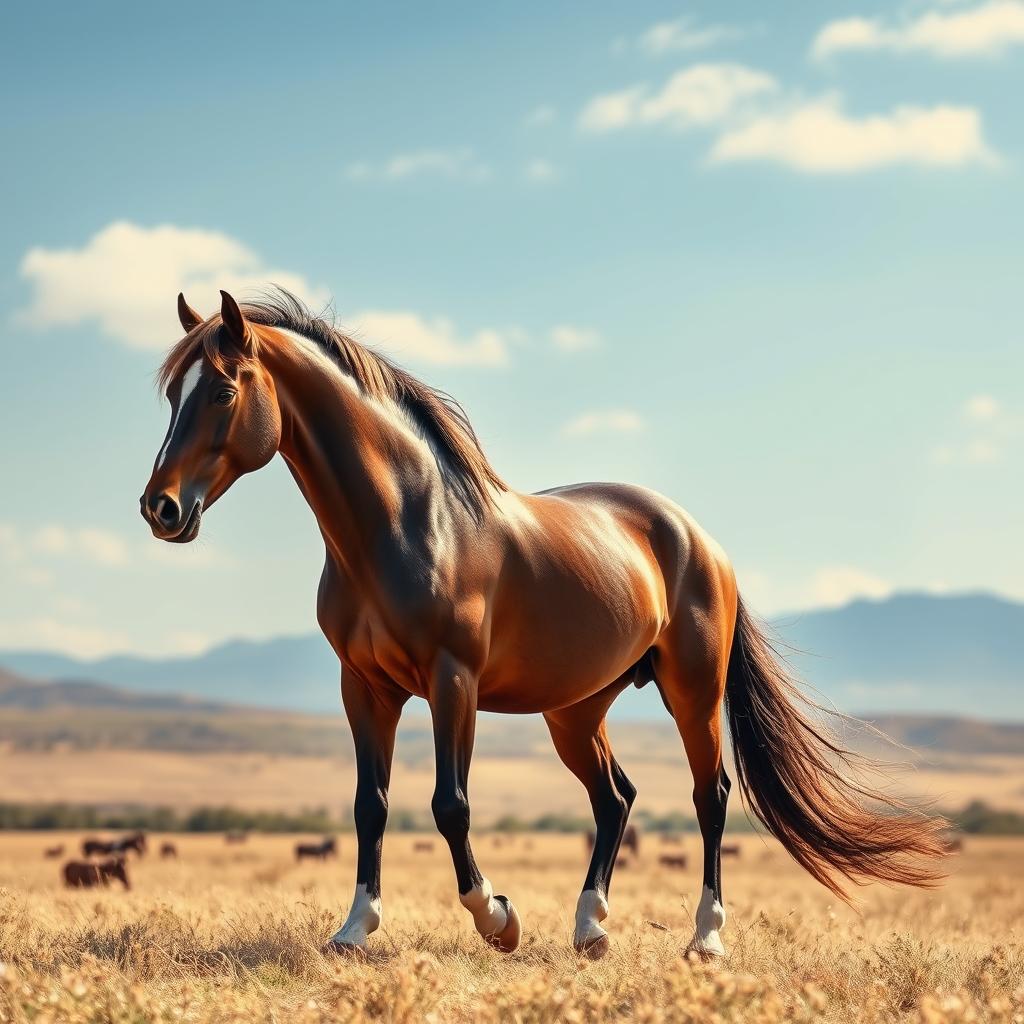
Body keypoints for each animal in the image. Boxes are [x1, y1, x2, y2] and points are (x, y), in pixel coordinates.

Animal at [141, 288, 946, 960]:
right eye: (172, 395)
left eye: (221, 389)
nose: (161, 509)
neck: (405, 525)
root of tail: (698, 537)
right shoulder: (364, 687)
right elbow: (371, 806)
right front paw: (354, 929)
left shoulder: (452, 681)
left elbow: (450, 805)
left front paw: (498, 919)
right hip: (576, 710)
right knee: (615, 798)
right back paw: (590, 928)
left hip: (692, 691)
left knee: (708, 796)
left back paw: (705, 939)